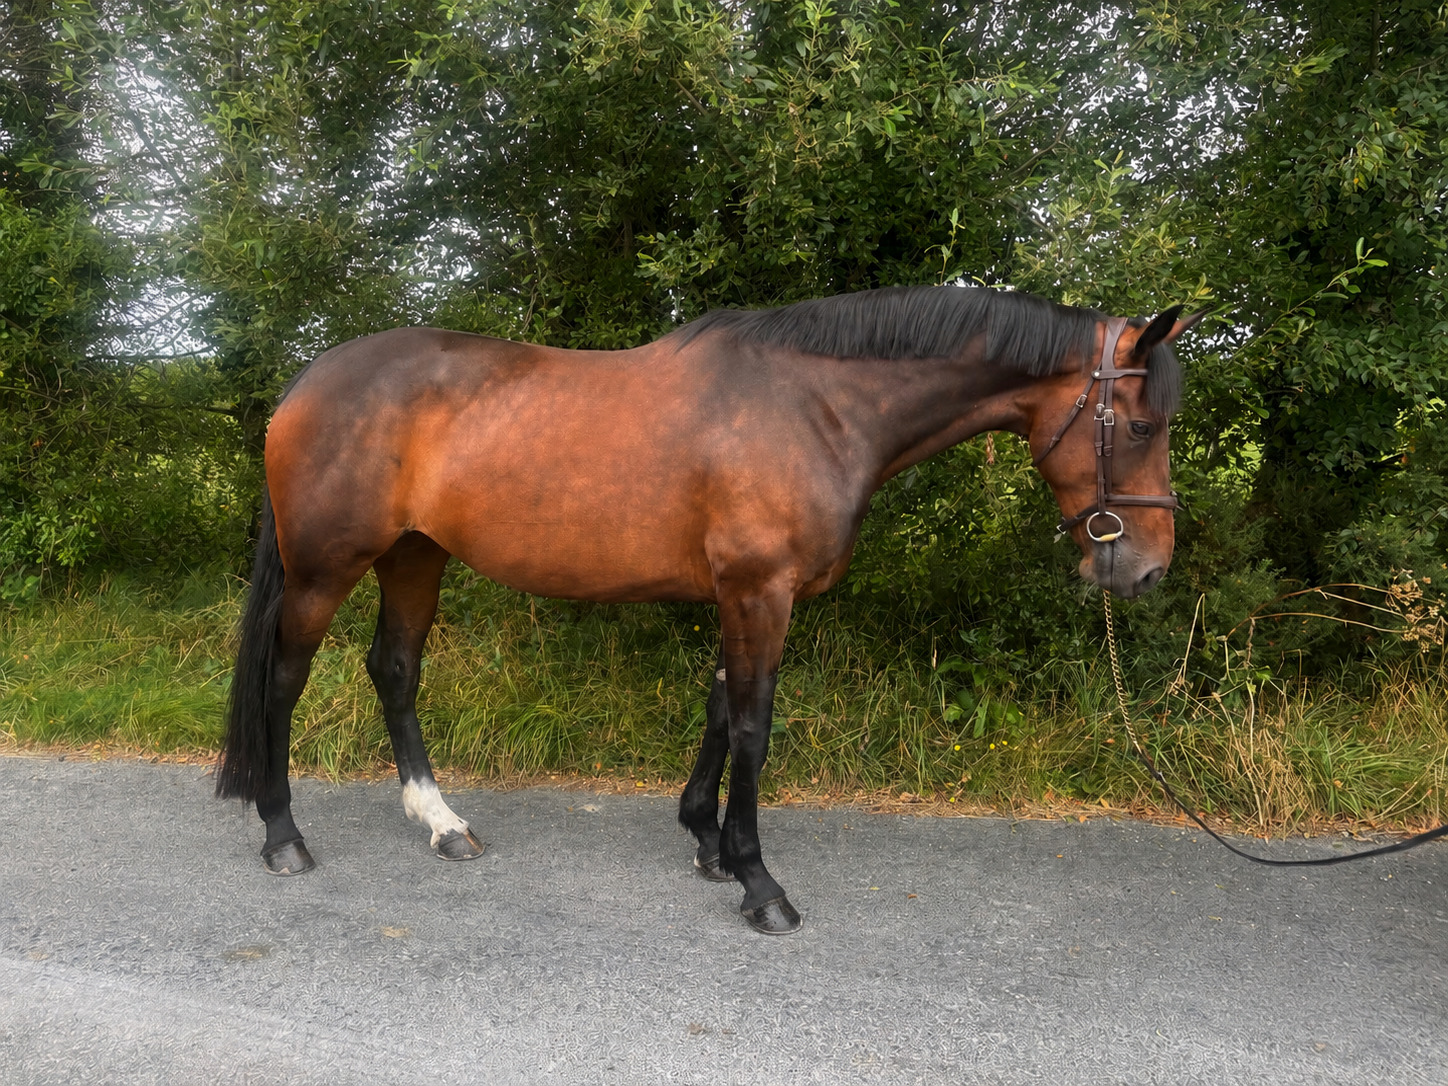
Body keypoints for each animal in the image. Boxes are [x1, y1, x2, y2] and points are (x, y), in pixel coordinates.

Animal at [215, 284, 1200, 935]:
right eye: (1141, 425)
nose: (1146, 571)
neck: (817, 405)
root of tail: (308, 383)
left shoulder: (746, 592)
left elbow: (722, 708)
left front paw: (708, 843)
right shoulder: (761, 590)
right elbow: (756, 726)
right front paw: (760, 884)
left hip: (416, 557)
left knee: (395, 671)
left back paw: (441, 822)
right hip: (324, 569)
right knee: (286, 677)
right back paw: (282, 835)